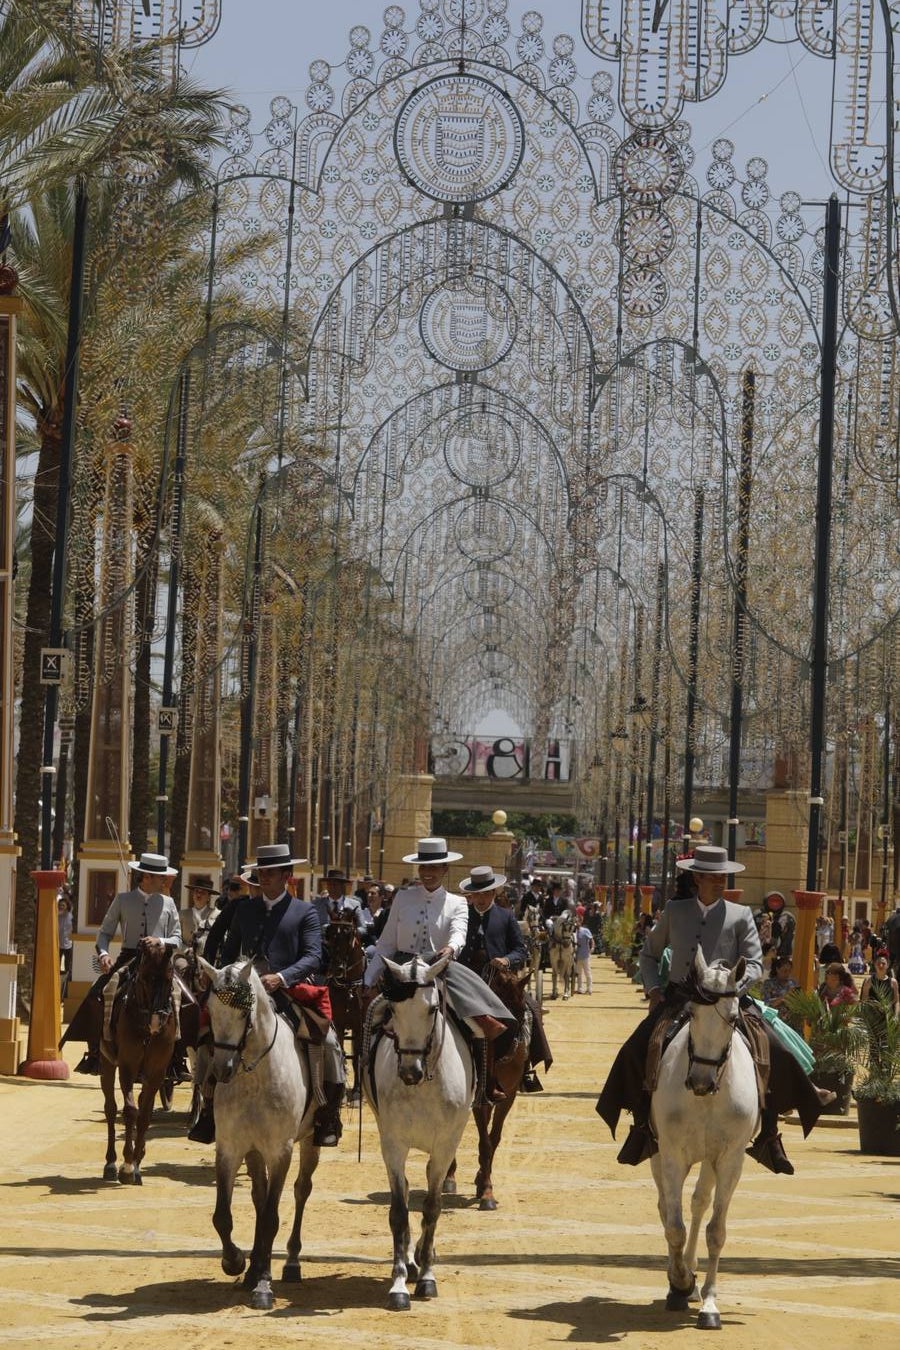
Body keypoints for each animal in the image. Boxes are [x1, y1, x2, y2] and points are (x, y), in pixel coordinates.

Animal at [100, 939, 178, 1182]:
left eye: (169, 978)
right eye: (144, 978)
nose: (155, 1022)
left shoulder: (156, 1072)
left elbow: (144, 1115)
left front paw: (135, 1164)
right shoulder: (127, 1067)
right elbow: (130, 1110)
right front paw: (126, 1165)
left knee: (145, 1103)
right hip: (107, 1064)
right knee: (110, 1108)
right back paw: (110, 1163)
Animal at [198, 961, 322, 1306]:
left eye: (244, 1012)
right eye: (210, 1010)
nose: (222, 1069)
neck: (255, 1076)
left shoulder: (280, 1151)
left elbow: (270, 1217)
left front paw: (264, 1284)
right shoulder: (230, 1148)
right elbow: (222, 1216)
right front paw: (236, 1261)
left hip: (310, 1141)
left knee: (301, 1190)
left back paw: (290, 1262)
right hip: (254, 1152)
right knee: (259, 1196)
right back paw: (252, 1268)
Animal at [364, 955, 477, 1312]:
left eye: (432, 1008)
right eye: (393, 1009)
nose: (409, 1071)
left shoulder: (445, 1147)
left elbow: (432, 1207)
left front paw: (427, 1275)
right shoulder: (393, 1145)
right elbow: (400, 1212)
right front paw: (400, 1282)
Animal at [650, 950, 755, 1328]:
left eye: (733, 1018)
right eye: (692, 1013)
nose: (699, 1081)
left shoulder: (730, 1160)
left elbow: (715, 1230)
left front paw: (709, 1303)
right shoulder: (670, 1155)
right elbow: (674, 1226)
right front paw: (680, 1281)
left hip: (711, 1161)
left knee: (699, 1203)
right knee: (667, 1207)